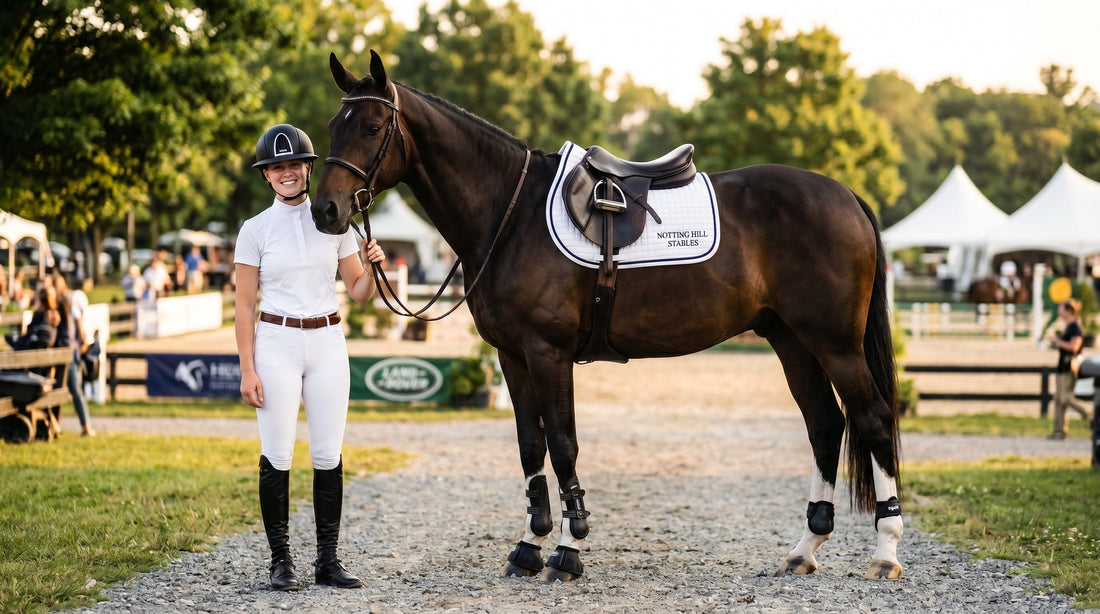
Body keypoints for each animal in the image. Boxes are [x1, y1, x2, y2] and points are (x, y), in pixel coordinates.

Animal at [312, 51, 904, 582]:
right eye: (333, 126)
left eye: (371, 127)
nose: (325, 211)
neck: (510, 213)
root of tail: (845, 195)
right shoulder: (512, 357)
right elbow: (531, 446)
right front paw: (529, 547)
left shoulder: (548, 353)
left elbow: (563, 444)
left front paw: (568, 550)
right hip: (791, 340)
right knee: (825, 425)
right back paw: (804, 549)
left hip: (834, 342)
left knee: (873, 418)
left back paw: (885, 552)